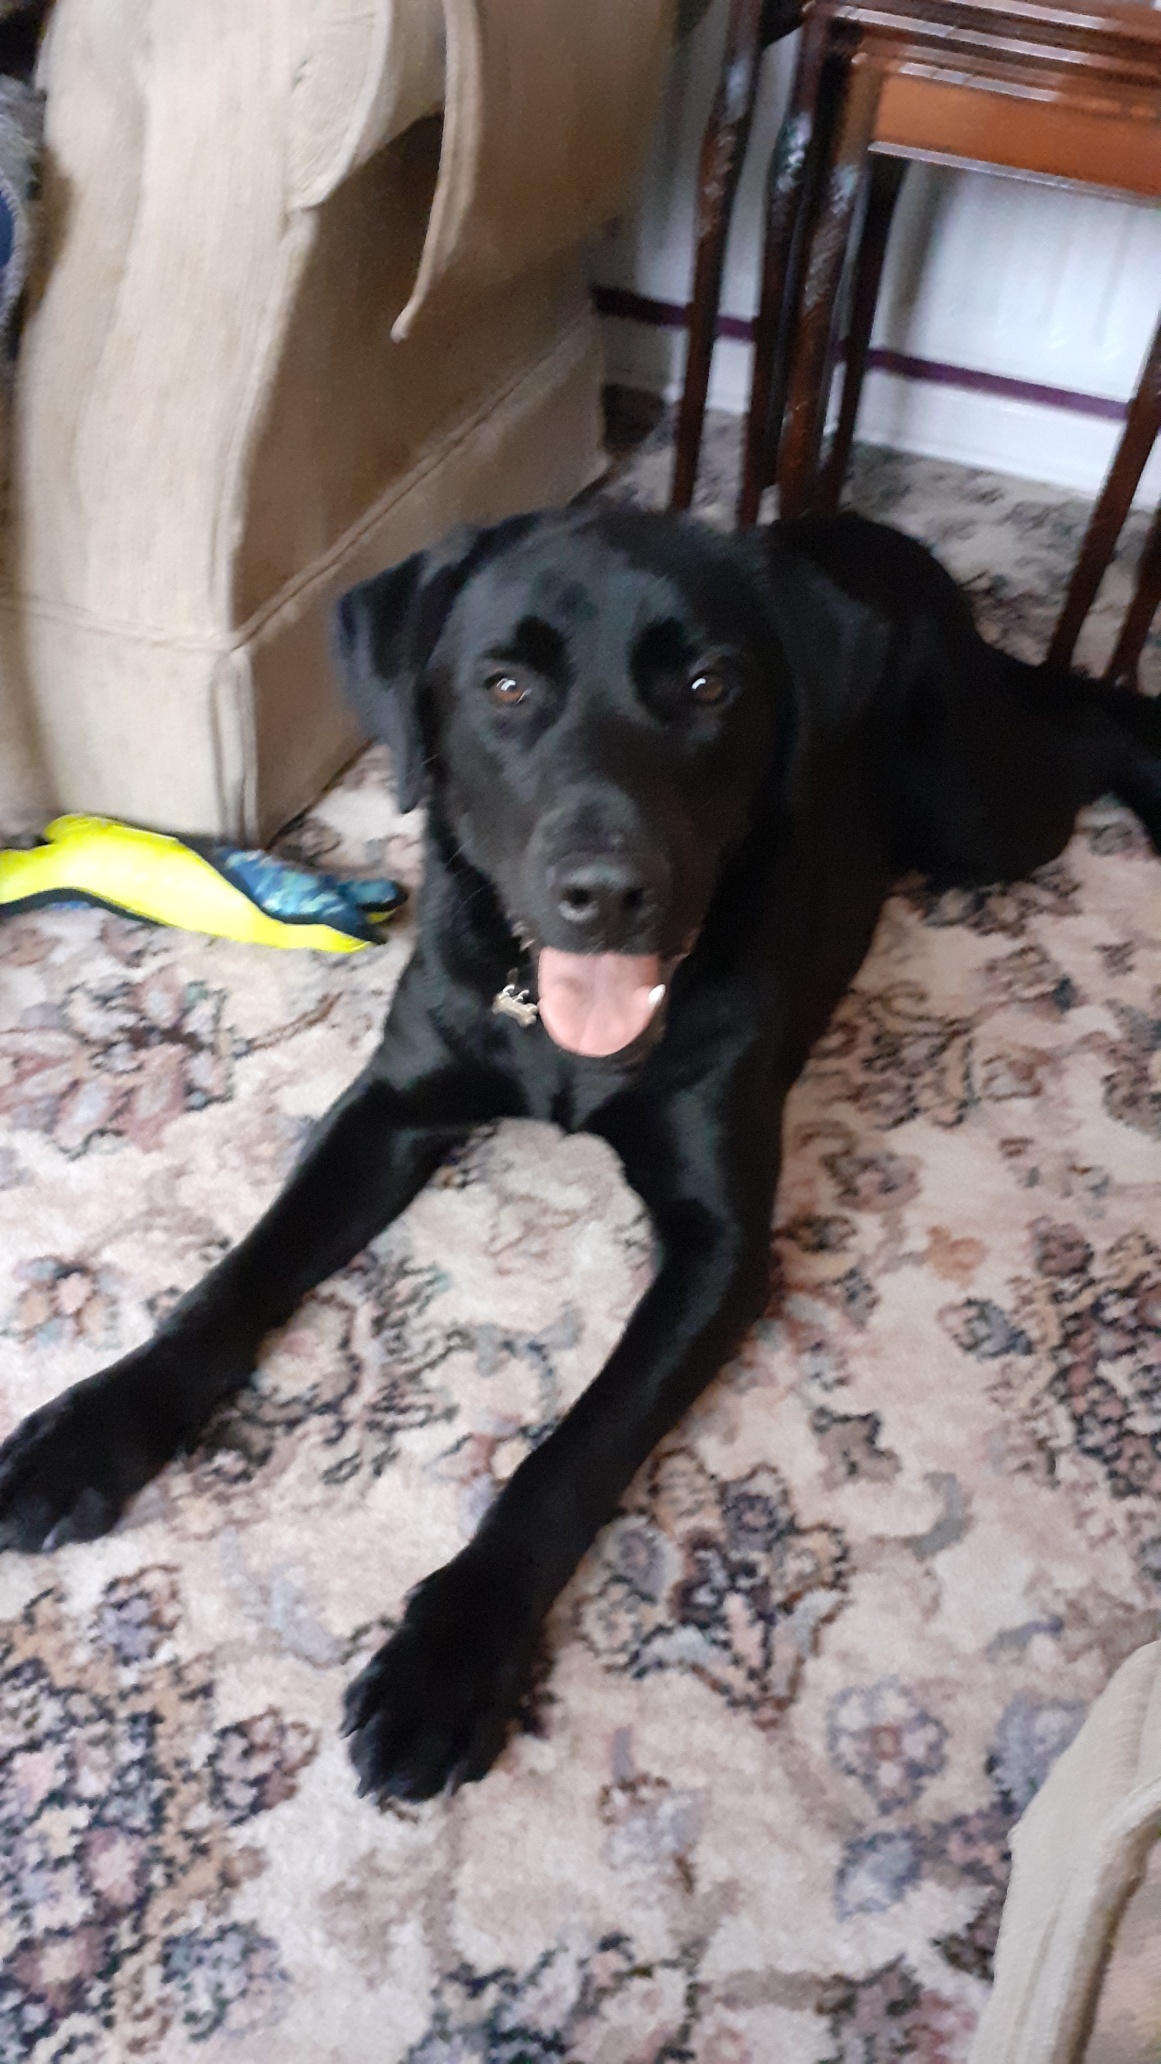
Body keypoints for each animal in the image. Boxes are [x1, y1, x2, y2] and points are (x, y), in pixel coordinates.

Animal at [1, 505, 1158, 1803]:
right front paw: (91, 1426)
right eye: (505, 685)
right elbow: (237, 1276)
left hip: (982, 818)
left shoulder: (721, 1245)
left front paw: (449, 1658)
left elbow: (573, 1450)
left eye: (709, 686)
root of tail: (858, 523)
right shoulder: (389, 1109)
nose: (606, 892)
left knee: (1095, 720)